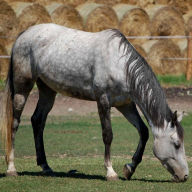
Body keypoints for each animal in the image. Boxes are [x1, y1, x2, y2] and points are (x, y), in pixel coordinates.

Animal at [0, 23, 189, 182]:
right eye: (177, 144)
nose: (185, 176)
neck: (119, 64)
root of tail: (24, 34)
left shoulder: (125, 105)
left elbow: (143, 131)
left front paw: (129, 168)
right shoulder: (103, 100)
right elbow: (108, 135)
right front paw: (111, 172)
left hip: (47, 90)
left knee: (38, 121)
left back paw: (46, 167)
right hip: (22, 87)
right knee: (14, 123)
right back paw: (11, 169)